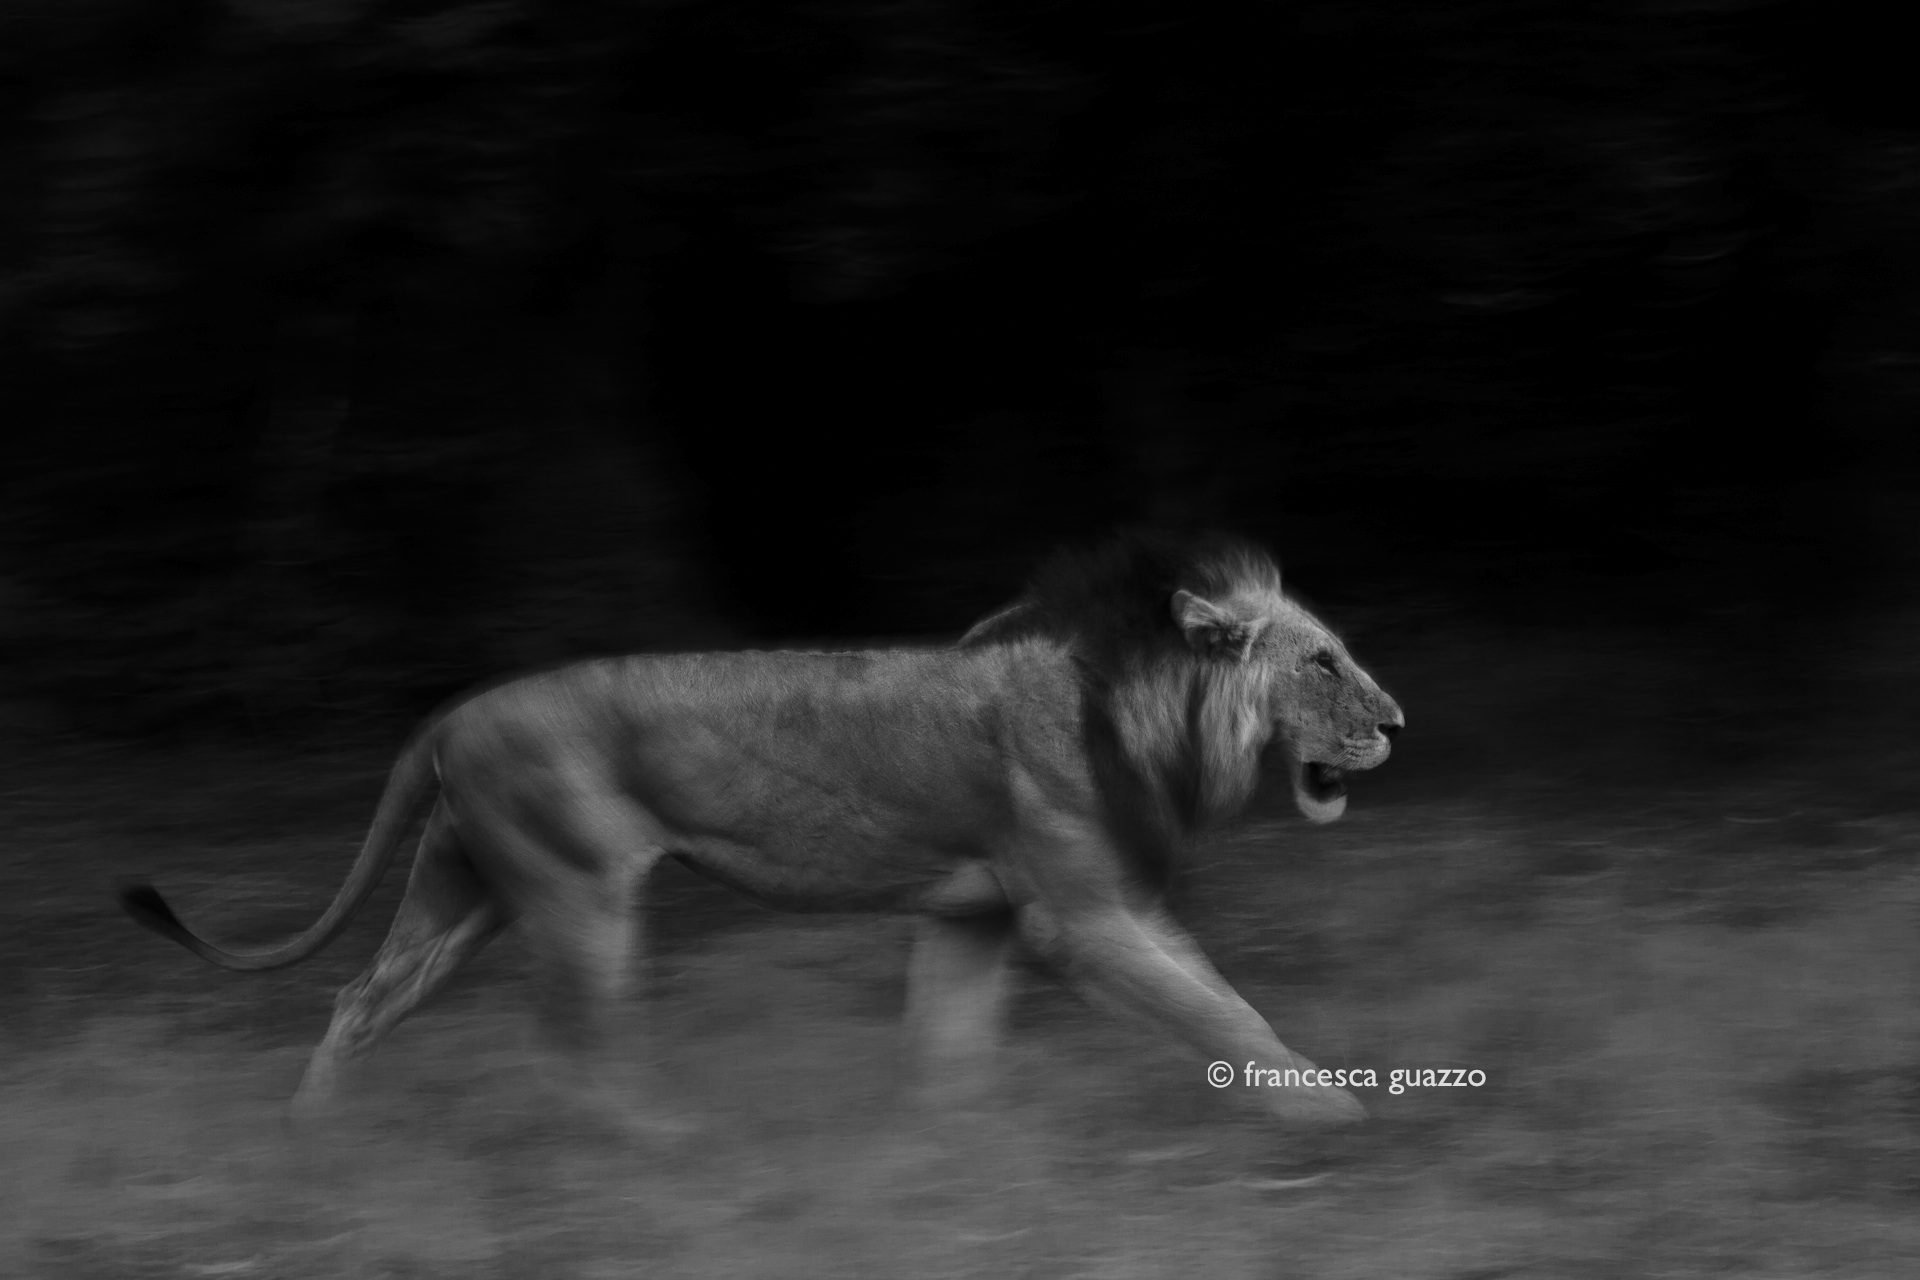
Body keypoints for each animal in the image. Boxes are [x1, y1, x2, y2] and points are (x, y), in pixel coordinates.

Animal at [121, 531, 1403, 1130]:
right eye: (1323, 661)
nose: (1395, 722)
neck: (1146, 711)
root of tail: (449, 714)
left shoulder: (981, 915)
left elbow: (952, 1045)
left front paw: (955, 1154)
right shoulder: (1079, 915)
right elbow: (1219, 1007)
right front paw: (1329, 1114)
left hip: (467, 887)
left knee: (360, 998)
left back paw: (311, 1141)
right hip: (578, 887)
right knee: (570, 1046)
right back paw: (656, 1146)